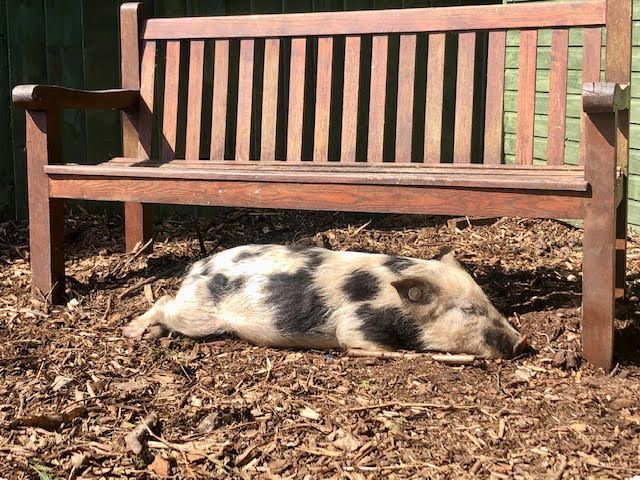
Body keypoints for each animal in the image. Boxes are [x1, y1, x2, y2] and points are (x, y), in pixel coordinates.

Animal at [122, 244, 527, 358]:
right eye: (468, 310)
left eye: (487, 302)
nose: (523, 343)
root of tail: (198, 267)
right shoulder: (356, 323)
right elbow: (357, 341)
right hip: (197, 316)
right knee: (163, 301)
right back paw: (131, 332)